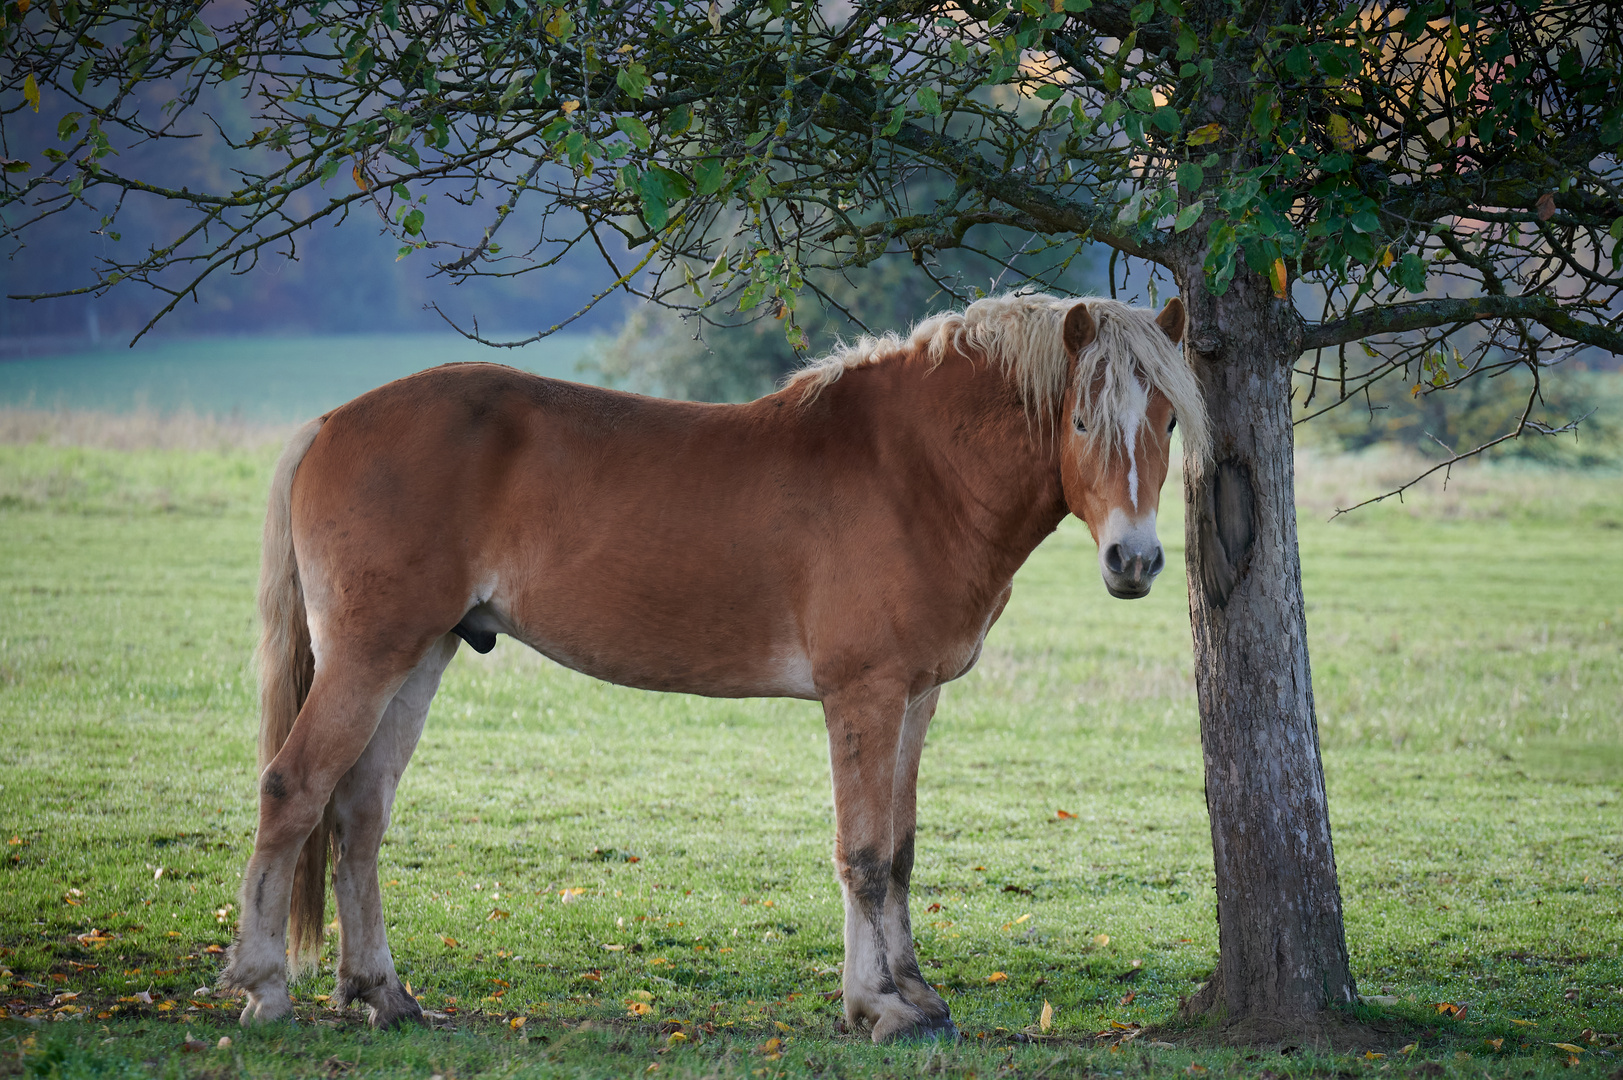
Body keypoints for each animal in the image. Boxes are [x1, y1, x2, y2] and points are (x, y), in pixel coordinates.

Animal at [219, 290, 1207, 1039]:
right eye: (1080, 417)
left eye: (1164, 419)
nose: (1134, 562)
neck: (912, 472)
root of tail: (328, 423)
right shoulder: (863, 694)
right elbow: (863, 853)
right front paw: (879, 1007)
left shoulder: (914, 698)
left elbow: (900, 851)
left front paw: (914, 995)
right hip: (369, 654)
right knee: (294, 789)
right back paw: (263, 985)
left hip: (419, 655)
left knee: (359, 813)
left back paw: (382, 993)